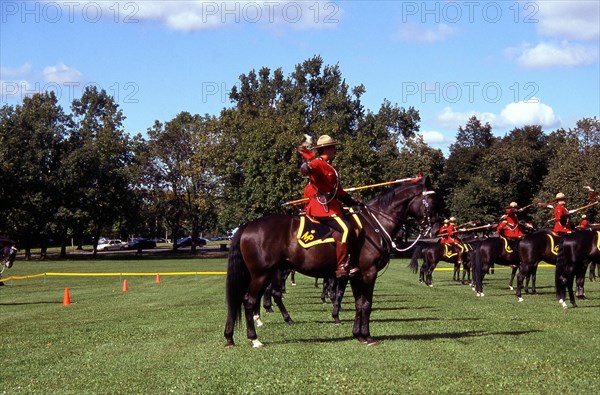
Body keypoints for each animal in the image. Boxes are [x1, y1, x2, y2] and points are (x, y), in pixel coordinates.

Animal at [223, 181, 438, 348]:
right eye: (432, 203)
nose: (435, 229)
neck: (374, 225)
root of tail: (249, 225)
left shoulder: (355, 274)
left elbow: (358, 303)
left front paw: (358, 334)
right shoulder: (369, 272)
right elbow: (366, 303)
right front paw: (367, 336)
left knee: (242, 300)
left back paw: (230, 337)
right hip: (261, 274)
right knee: (250, 300)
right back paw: (254, 339)